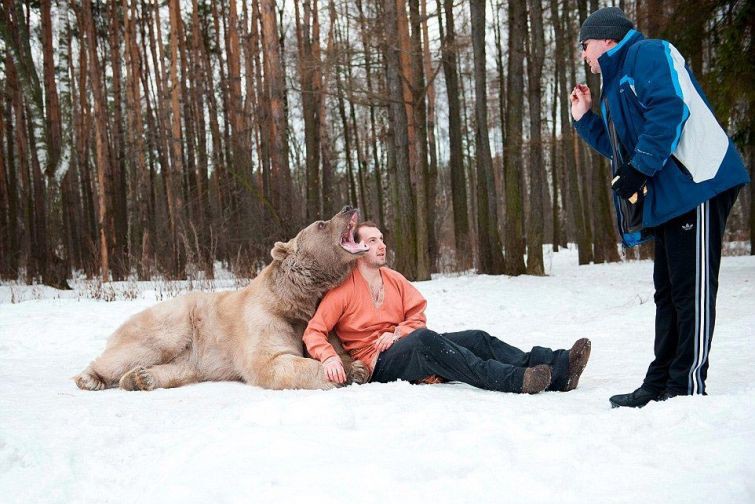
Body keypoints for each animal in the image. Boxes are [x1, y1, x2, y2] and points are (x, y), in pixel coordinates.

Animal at [75, 207, 370, 392]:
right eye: (321, 223)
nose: (348, 206)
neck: (295, 299)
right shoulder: (266, 317)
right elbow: (272, 361)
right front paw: (339, 374)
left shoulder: (317, 316)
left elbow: (332, 346)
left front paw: (356, 367)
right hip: (173, 322)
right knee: (141, 348)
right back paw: (90, 378)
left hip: (192, 353)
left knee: (180, 368)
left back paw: (140, 378)